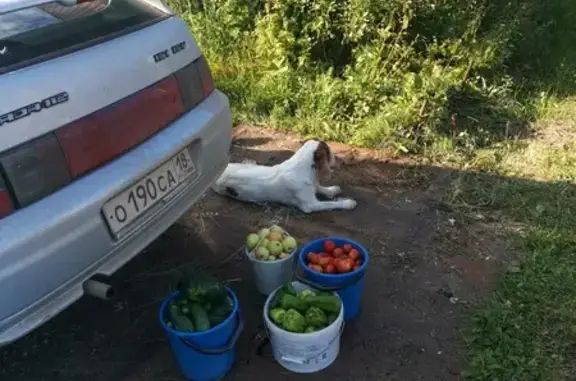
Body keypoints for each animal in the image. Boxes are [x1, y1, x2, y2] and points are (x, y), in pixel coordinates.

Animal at [212, 140, 356, 212]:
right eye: (328, 151)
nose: (337, 157)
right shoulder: (310, 205)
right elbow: (330, 204)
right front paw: (348, 203)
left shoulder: (312, 187)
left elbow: (319, 187)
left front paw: (332, 190)